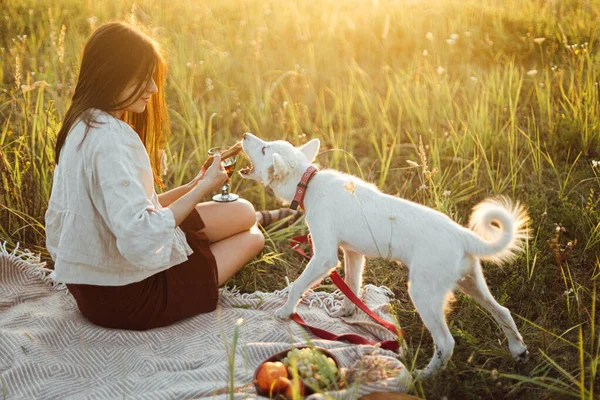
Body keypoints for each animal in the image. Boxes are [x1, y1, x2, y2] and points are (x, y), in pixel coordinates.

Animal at [239, 133, 528, 376]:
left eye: (264, 149)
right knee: (502, 311)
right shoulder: (353, 254)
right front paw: (345, 312)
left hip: (424, 292)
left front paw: (286, 311)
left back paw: (426, 375)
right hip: (471, 282)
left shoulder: (325, 256)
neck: (308, 183)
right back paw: (518, 351)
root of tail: (462, 235)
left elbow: (299, 285)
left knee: (446, 342)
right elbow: (352, 285)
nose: (244, 135)